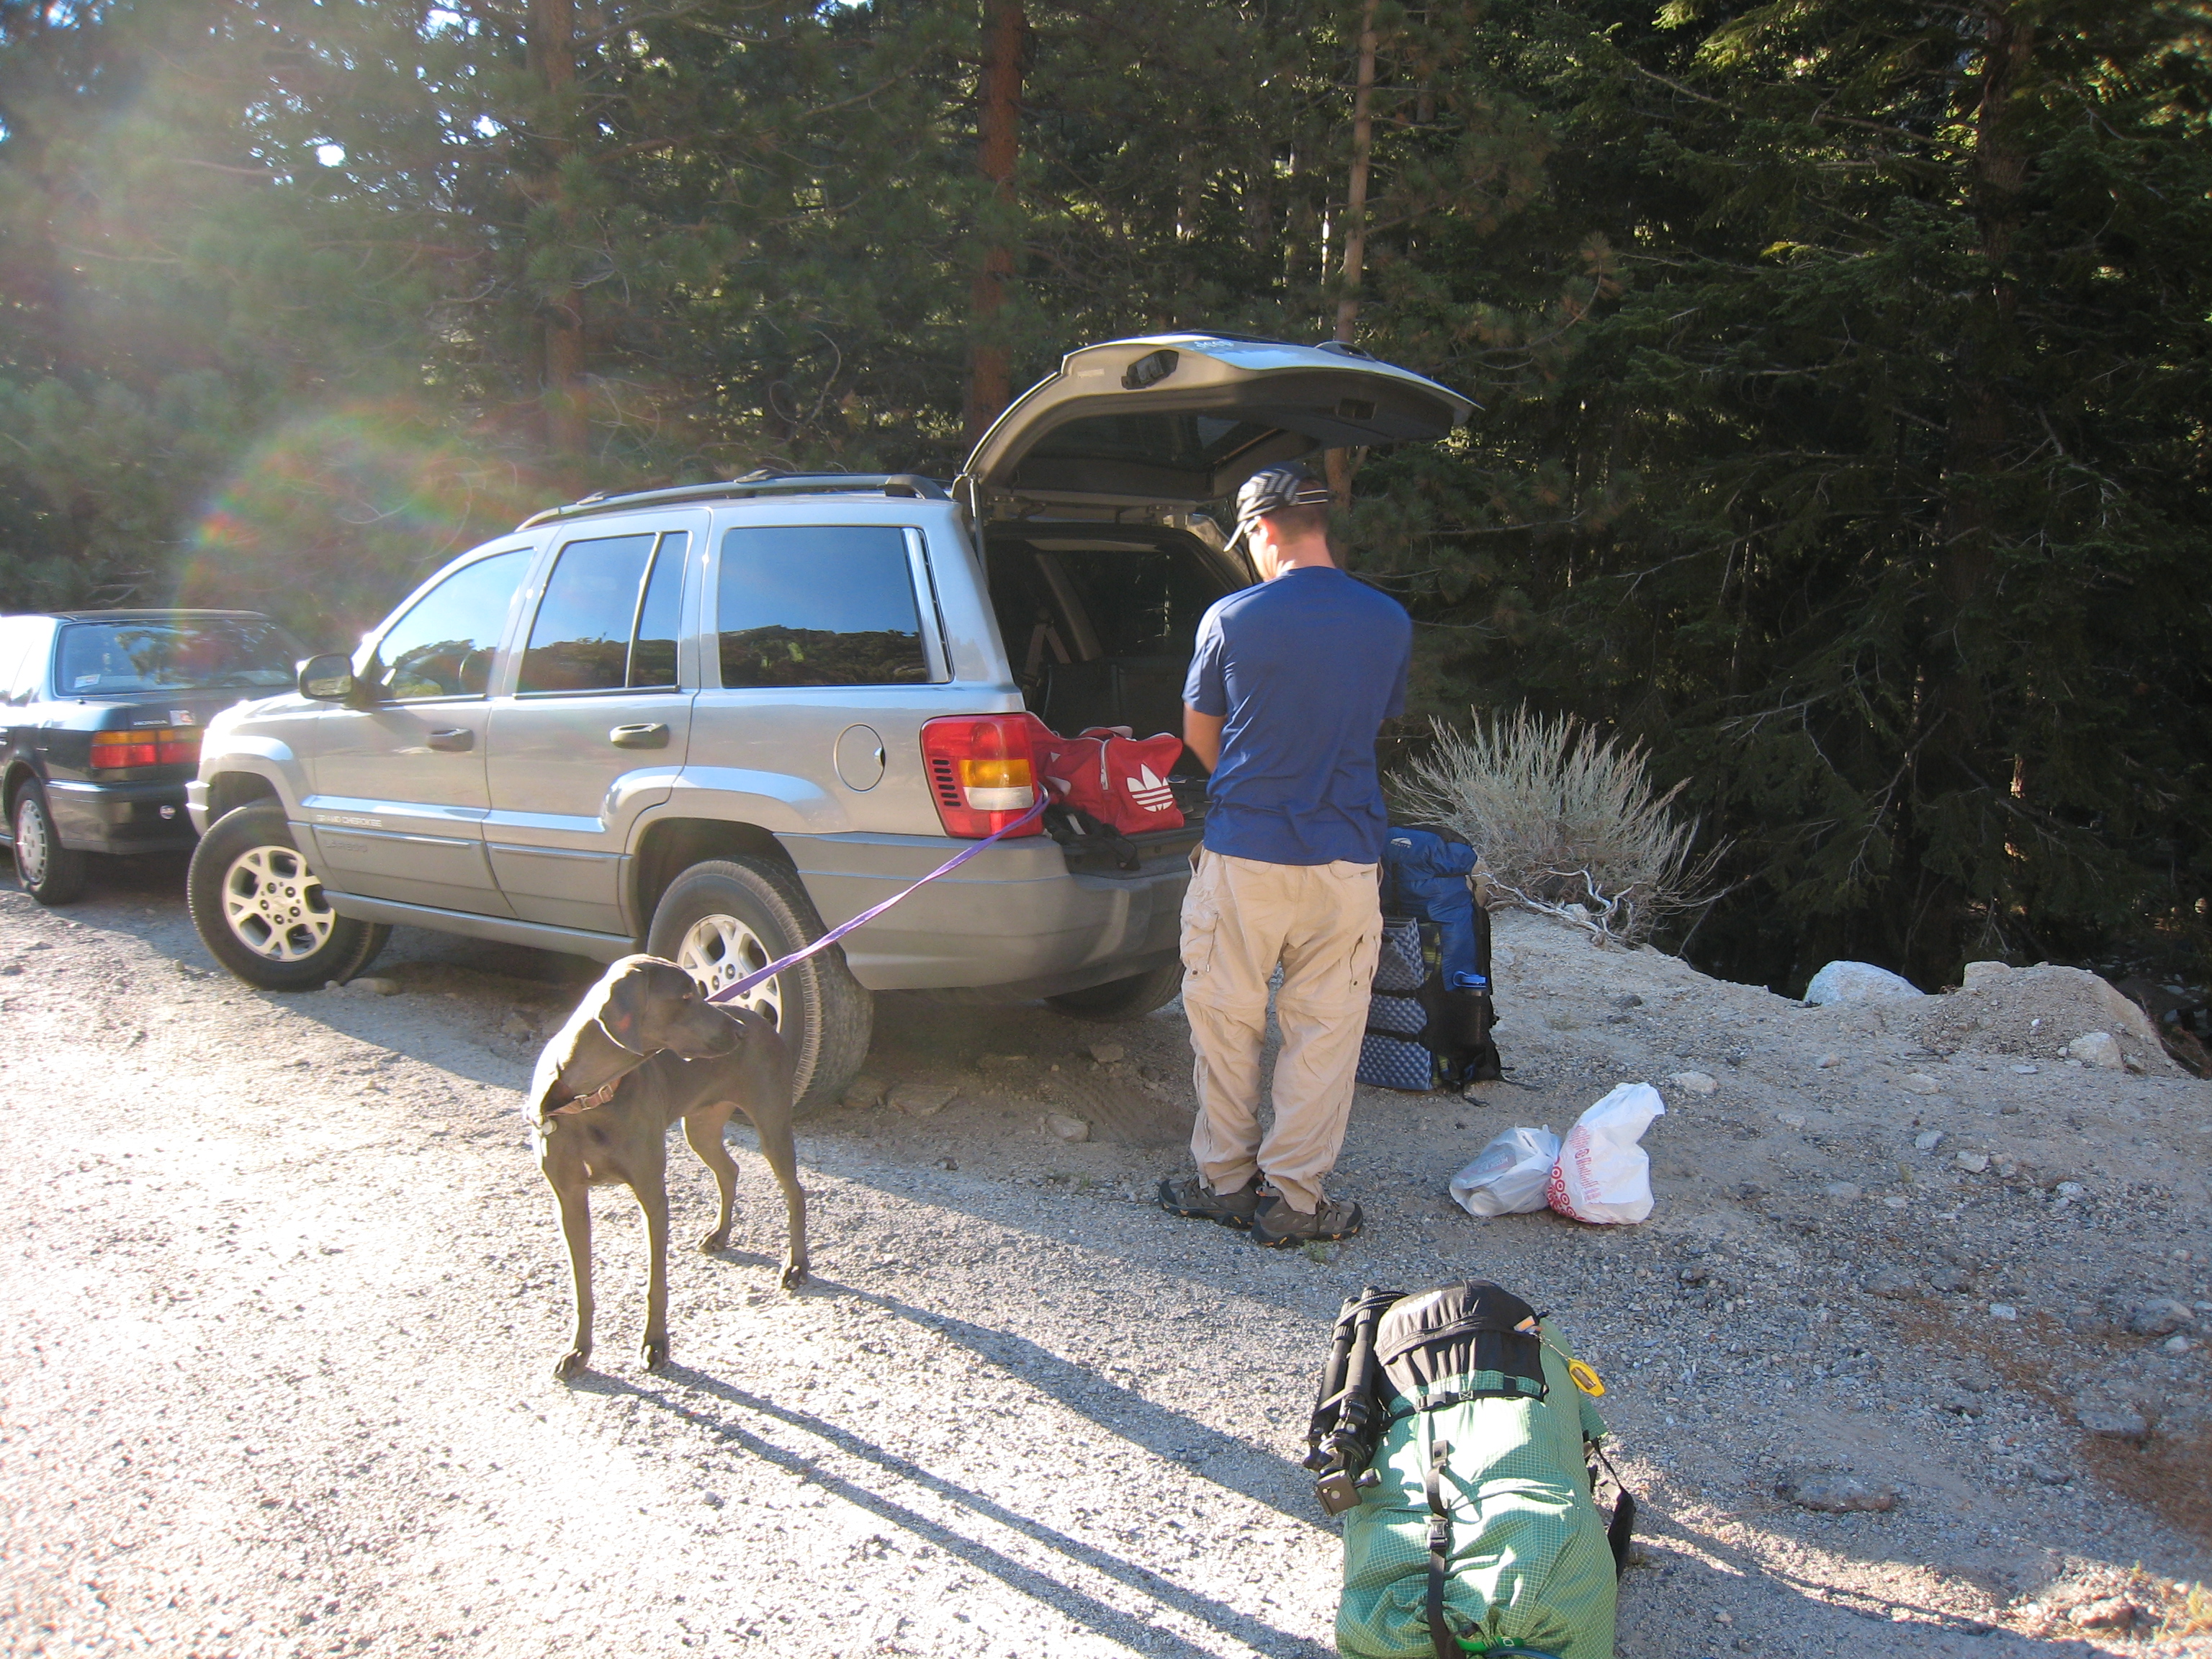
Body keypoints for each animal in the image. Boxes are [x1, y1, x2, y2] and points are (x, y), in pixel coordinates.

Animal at [528, 955, 808, 1380]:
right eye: (686, 996)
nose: (741, 1033)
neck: (590, 1097)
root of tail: (761, 1020)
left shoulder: (652, 1196)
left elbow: (655, 1284)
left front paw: (655, 1344)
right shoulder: (569, 1201)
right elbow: (582, 1287)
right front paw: (578, 1350)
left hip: (771, 1125)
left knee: (795, 1193)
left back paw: (796, 1265)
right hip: (701, 1127)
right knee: (729, 1171)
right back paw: (720, 1234)